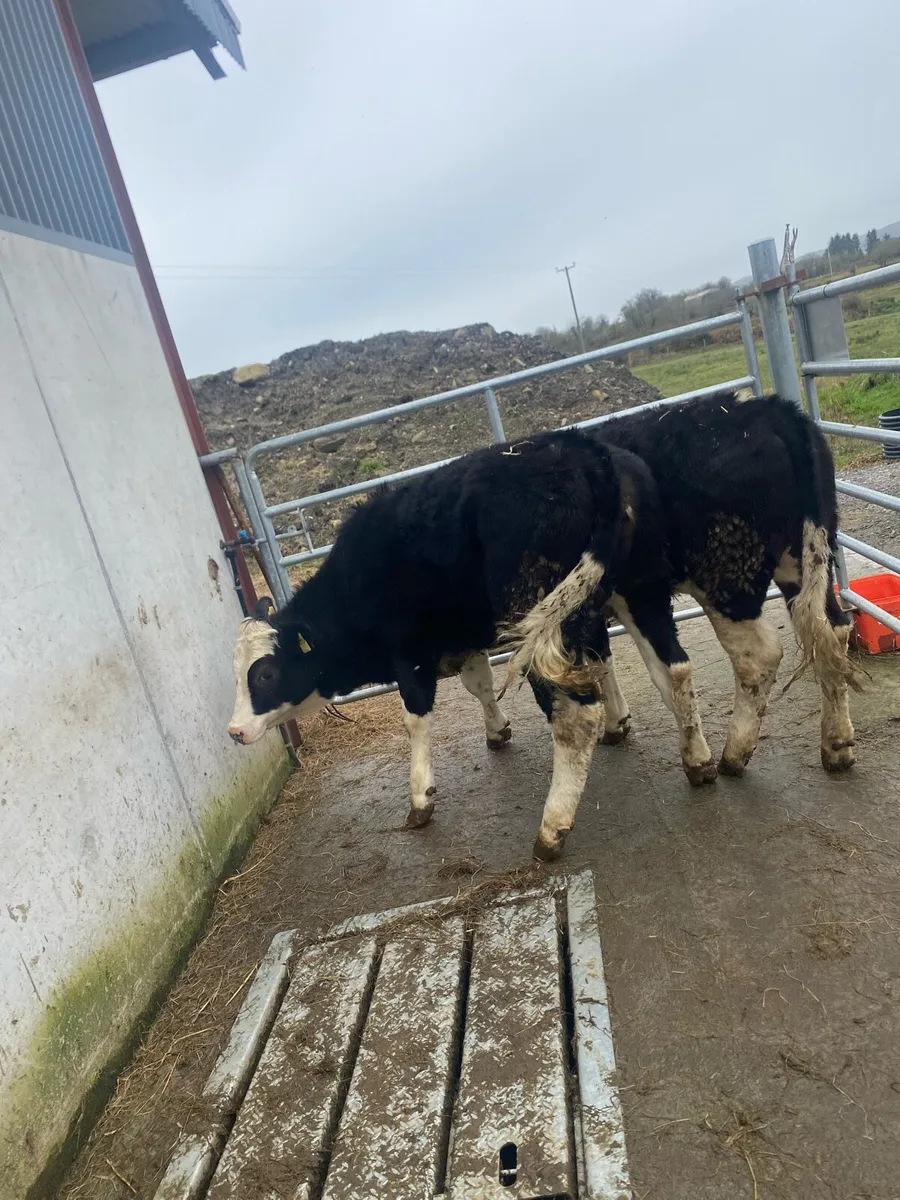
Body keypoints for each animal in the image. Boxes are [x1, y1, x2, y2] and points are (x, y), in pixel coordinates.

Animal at [228, 392, 860, 860]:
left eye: (264, 675)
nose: (234, 732)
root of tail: (766, 408)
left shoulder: (413, 652)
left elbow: (419, 718)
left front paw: (421, 797)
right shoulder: (540, 622)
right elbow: (511, 678)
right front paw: (509, 729)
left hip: (719, 579)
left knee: (743, 661)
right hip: (781, 567)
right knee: (820, 637)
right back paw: (816, 746)